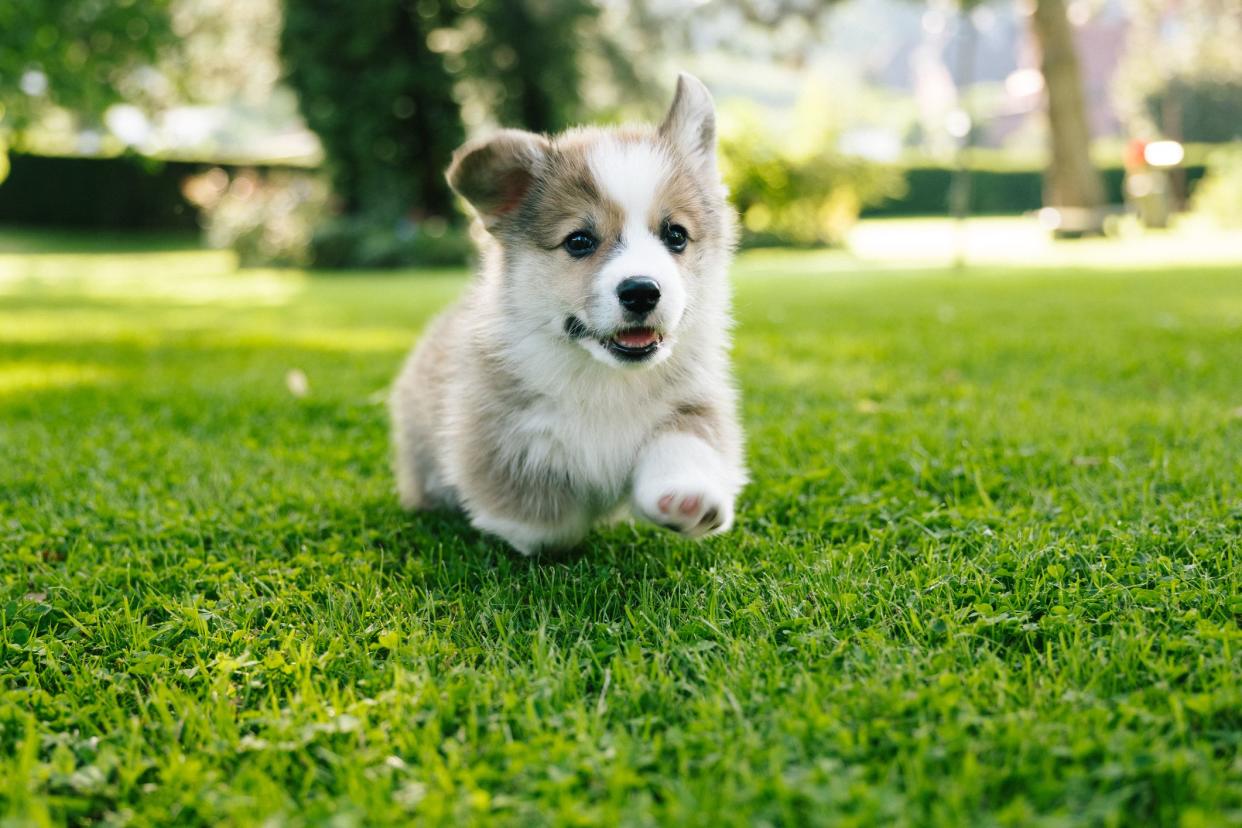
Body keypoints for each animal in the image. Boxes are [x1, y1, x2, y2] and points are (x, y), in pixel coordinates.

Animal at [387, 74, 745, 553]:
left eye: (676, 235)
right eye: (578, 241)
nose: (642, 291)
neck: (605, 379)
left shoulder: (693, 400)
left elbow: (684, 443)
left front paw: (686, 499)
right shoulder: (499, 436)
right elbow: (548, 525)